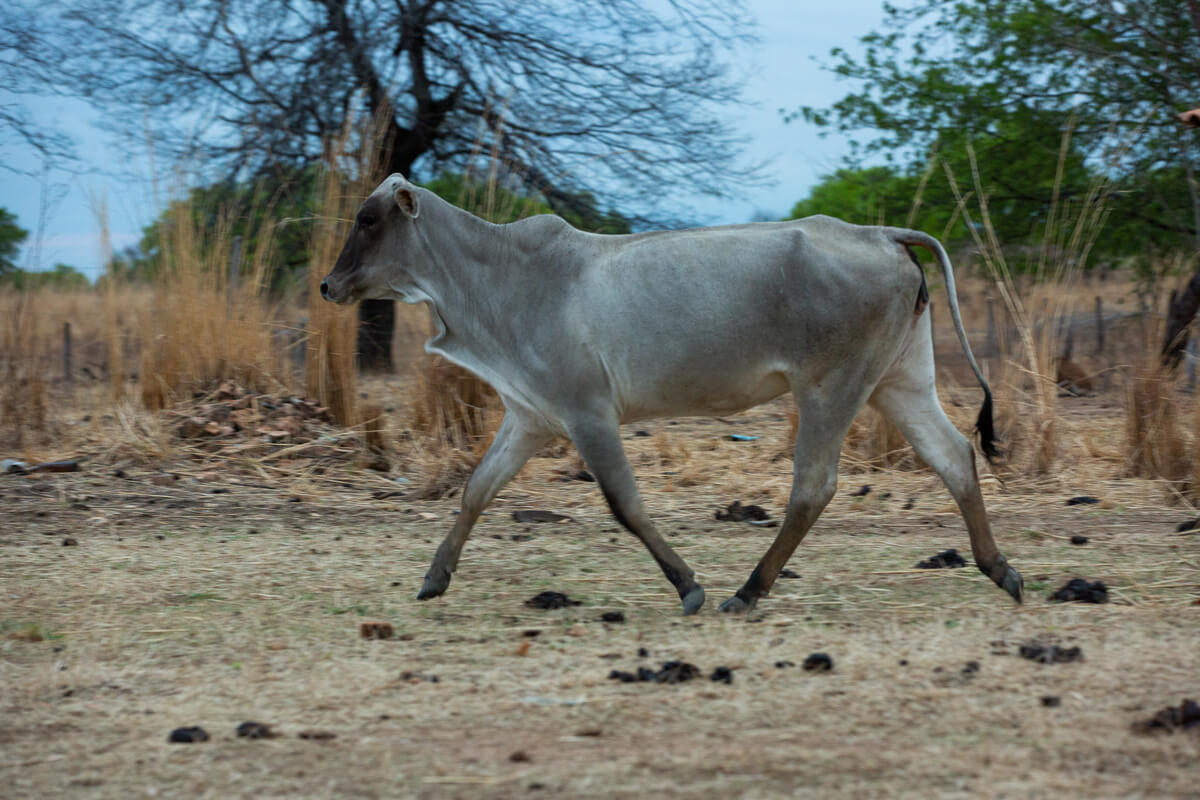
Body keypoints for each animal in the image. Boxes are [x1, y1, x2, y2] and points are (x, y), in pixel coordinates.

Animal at [319, 173, 1022, 614]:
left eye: (368, 219)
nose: (328, 285)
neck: (500, 277)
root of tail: (879, 233)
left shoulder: (587, 414)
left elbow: (626, 505)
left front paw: (689, 586)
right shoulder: (530, 418)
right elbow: (476, 490)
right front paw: (434, 578)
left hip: (832, 387)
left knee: (813, 487)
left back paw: (748, 591)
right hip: (898, 383)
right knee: (955, 456)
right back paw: (1000, 570)